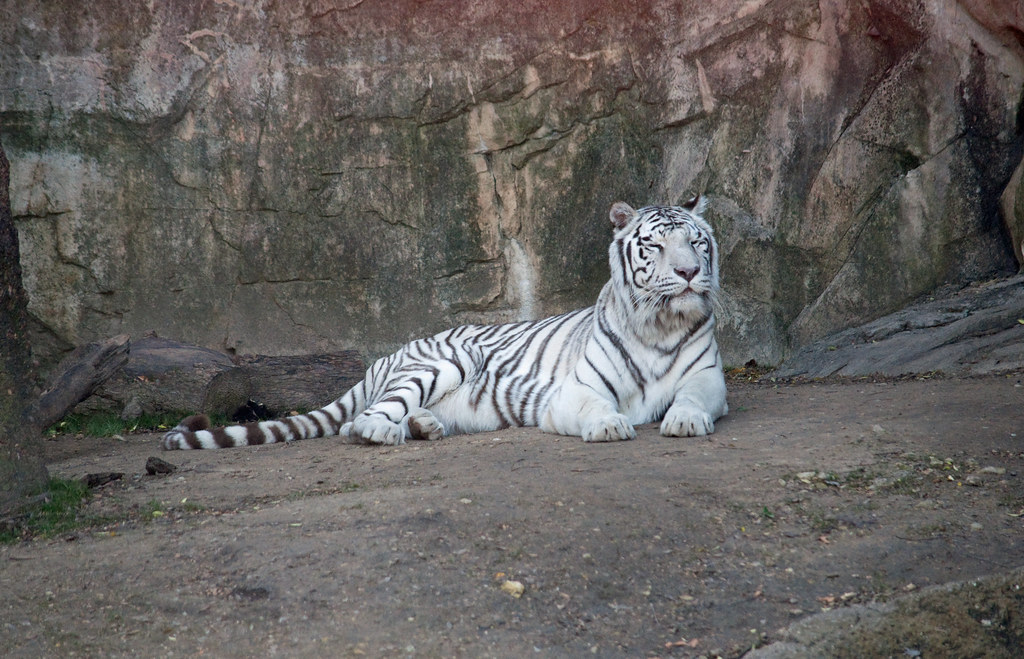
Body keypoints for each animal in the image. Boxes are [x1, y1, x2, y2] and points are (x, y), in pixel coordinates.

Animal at [161, 197, 728, 450]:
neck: (659, 325)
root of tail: (387, 354)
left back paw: (424, 426)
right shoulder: (576, 391)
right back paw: (386, 432)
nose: (688, 272)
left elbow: (692, 398)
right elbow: (597, 406)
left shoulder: (709, 380)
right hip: (440, 362)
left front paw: (683, 420)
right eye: (655, 246)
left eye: (696, 241)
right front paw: (610, 425)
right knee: (359, 421)